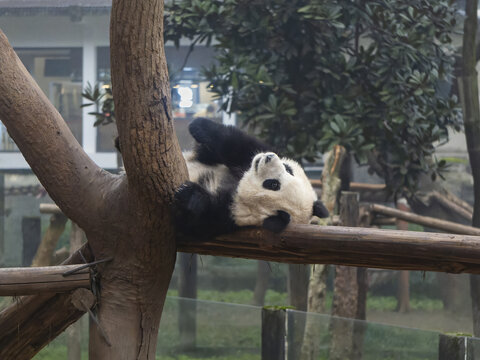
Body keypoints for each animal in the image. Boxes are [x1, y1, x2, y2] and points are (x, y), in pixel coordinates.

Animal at [176, 118, 330, 239]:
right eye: (288, 169)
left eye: (273, 184)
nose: (268, 157)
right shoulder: (244, 158)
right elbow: (237, 145)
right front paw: (199, 125)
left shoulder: (228, 217)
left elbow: (194, 222)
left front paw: (191, 194)